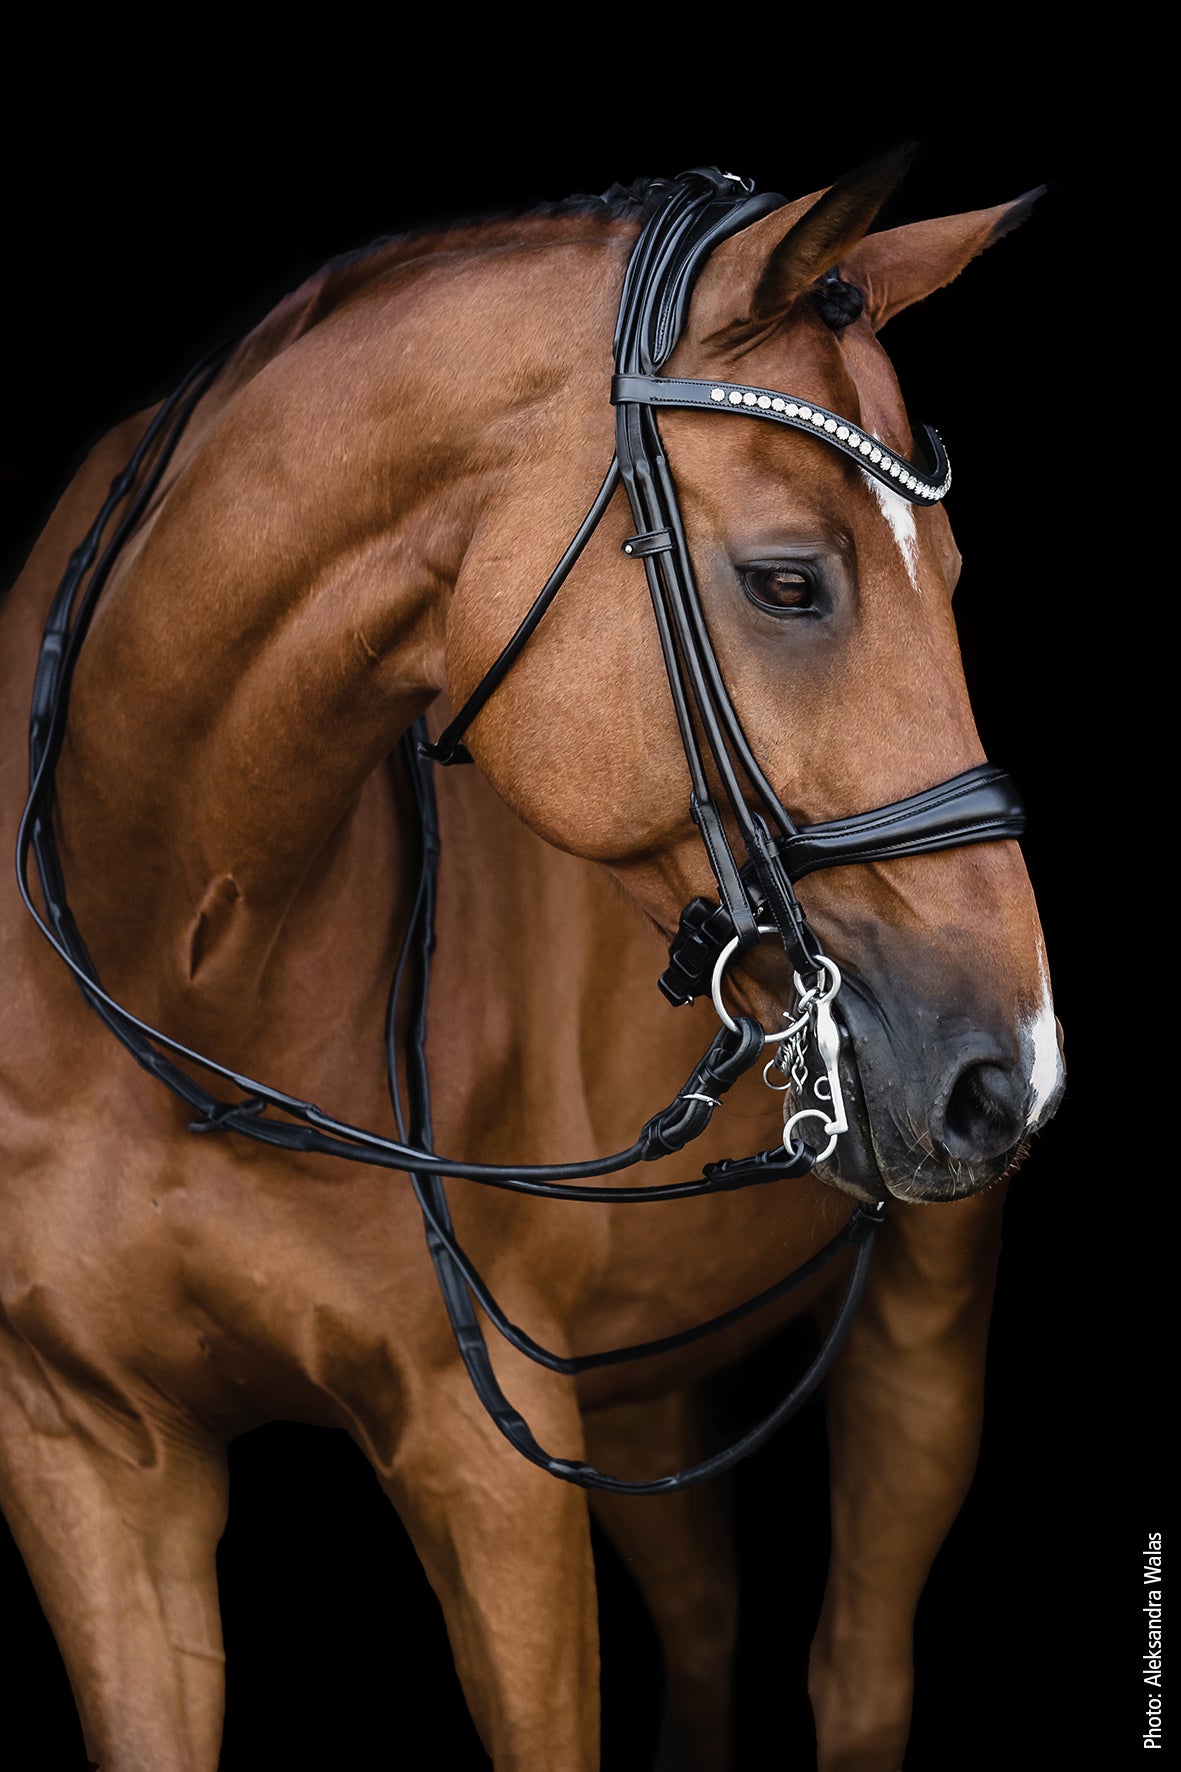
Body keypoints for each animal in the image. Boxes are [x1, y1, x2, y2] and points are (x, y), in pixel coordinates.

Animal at [0, 152, 1064, 1770]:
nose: (1012, 1073)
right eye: (788, 583)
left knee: (856, 1672)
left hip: (919, 1333)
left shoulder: (487, 1455)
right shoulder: (83, 1452)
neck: (181, 946)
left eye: (948, 573)